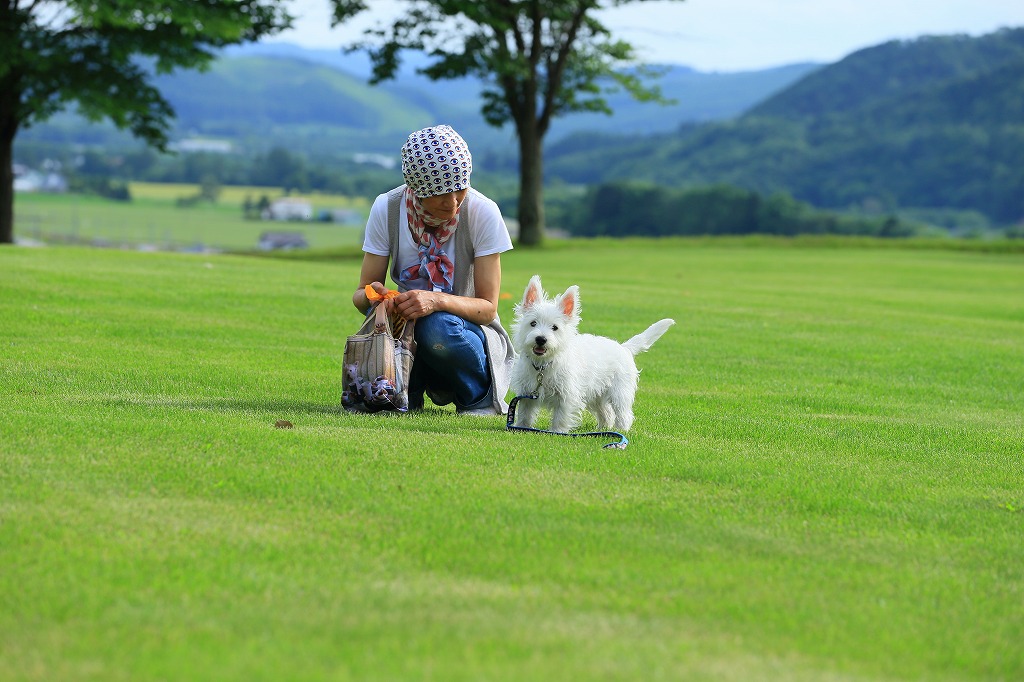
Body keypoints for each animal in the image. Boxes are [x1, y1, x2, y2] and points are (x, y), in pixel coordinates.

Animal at [507, 274, 675, 430]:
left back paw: (622, 430)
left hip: (620, 392)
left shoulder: (567, 396)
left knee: (623, 414)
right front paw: (521, 428)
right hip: (597, 394)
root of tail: (624, 348)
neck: (544, 365)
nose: (541, 339)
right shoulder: (527, 393)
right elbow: (525, 414)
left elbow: (560, 417)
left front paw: (557, 432)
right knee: (606, 413)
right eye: (533, 323)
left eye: (555, 327)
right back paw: (603, 429)